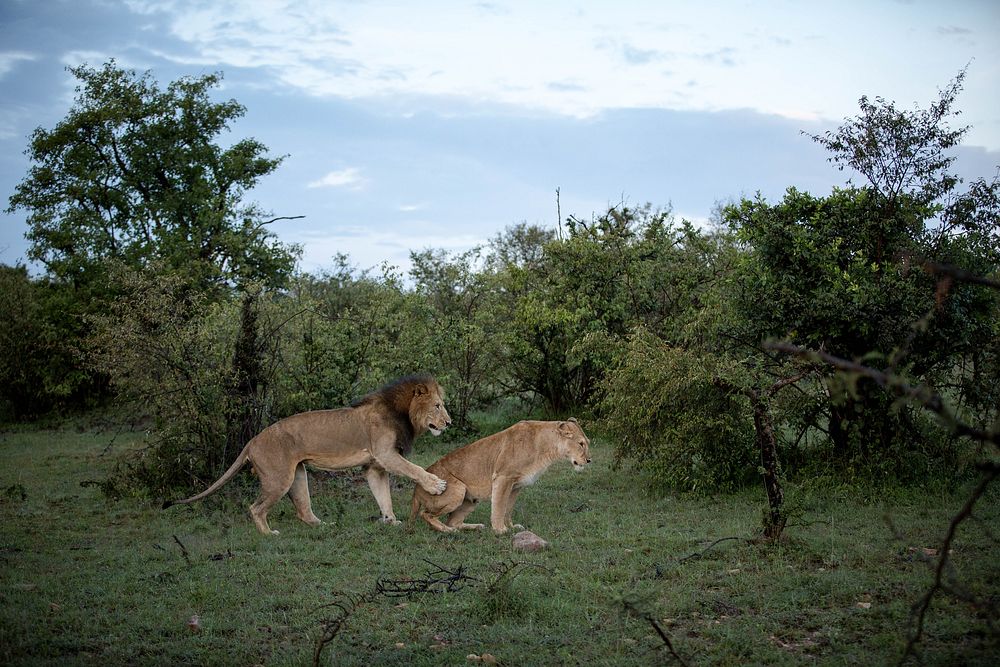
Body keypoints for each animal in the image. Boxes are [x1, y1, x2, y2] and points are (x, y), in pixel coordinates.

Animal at [163, 376, 450, 536]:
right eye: (437, 406)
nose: (449, 422)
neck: (403, 414)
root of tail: (252, 441)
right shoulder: (385, 454)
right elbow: (415, 469)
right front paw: (436, 485)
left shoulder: (375, 465)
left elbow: (383, 496)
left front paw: (391, 521)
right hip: (278, 479)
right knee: (256, 508)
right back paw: (269, 534)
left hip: (297, 475)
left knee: (303, 511)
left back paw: (326, 526)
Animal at [410, 420, 588, 536]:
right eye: (581, 444)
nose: (589, 460)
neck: (546, 447)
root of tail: (416, 489)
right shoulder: (503, 477)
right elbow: (499, 506)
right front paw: (500, 530)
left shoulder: (516, 486)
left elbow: (508, 508)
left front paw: (511, 527)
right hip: (457, 489)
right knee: (427, 515)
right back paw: (449, 531)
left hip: (470, 500)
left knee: (451, 521)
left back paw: (475, 527)